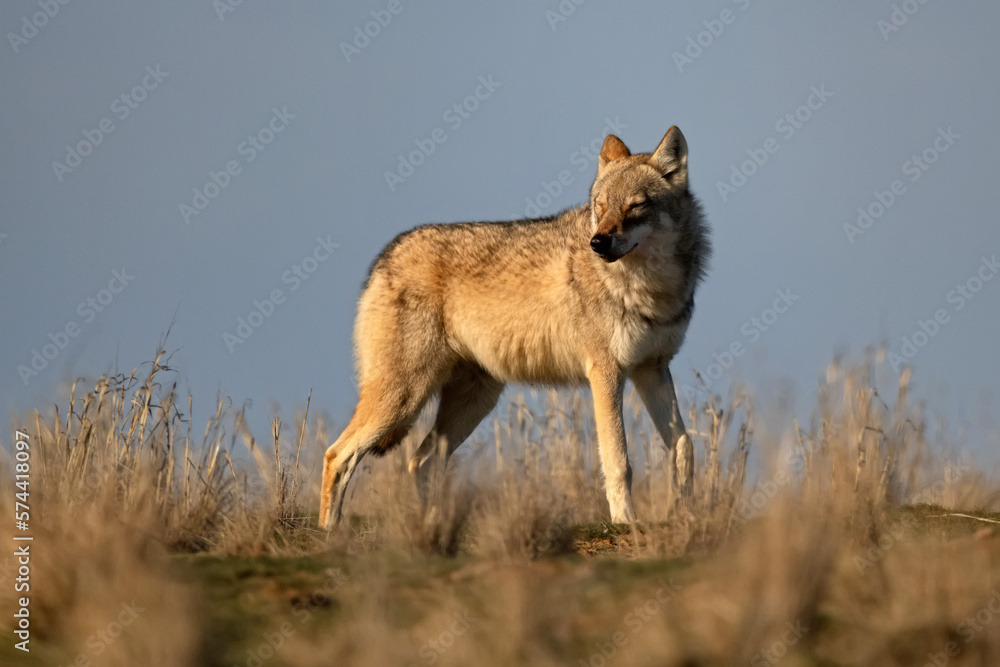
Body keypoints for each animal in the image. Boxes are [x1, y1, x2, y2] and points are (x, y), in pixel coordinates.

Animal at [320, 126, 710, 528]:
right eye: (600, 207)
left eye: (635, 207)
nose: (598, 243)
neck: (650, 289)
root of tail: (385, 256)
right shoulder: (606, 372)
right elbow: (619, 461)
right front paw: (625, 521)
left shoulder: (652, 368)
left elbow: (684, 446)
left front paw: (685, 511)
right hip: (404, 399)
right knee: (338, 454)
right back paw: (331, 533)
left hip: (472, 402)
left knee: (422, 461)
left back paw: (431, 528)